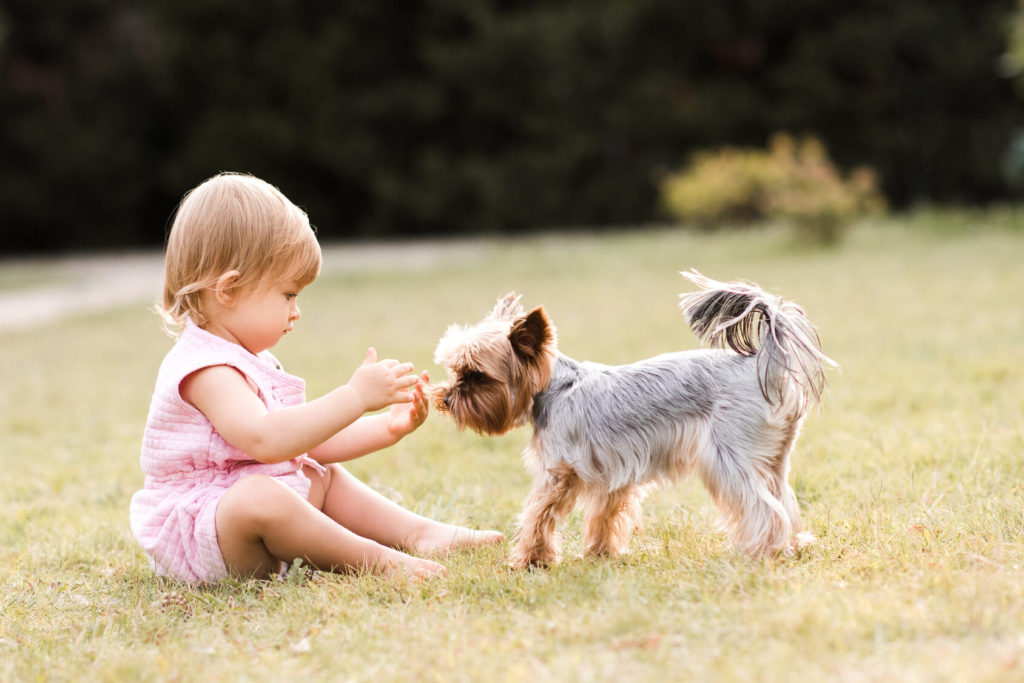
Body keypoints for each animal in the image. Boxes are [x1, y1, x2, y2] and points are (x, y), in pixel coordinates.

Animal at [428, 270, 835, 569]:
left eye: (475, 375)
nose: (445, 399)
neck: (553, 387)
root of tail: (762, 365)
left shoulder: (556, 474)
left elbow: (537, 518)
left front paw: (529, 561)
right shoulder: (613, 473)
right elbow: (604, 516)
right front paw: (598, 555)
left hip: (728, 457)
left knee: (762, 507)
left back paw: (767, 551)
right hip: (772, 459)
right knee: (783, 498)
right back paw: (794, 544)